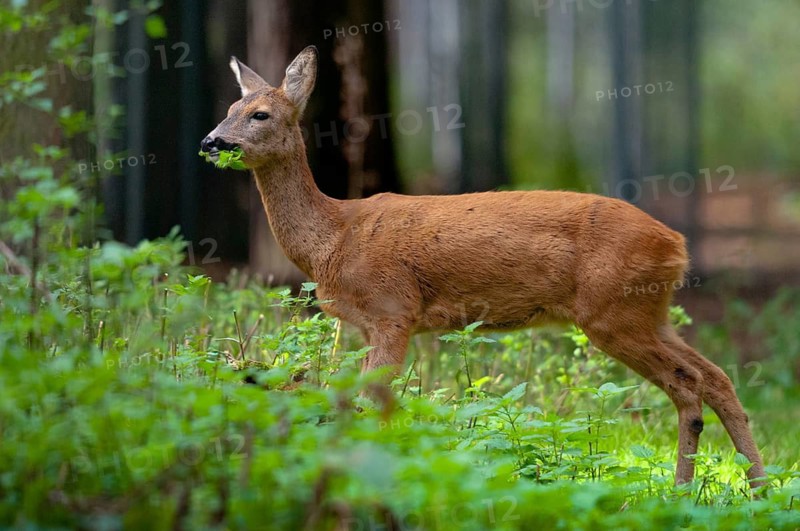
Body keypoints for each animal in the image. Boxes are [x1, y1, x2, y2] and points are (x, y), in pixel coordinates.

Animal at [200, 45, 765, 489]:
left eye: (260, 115)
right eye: (229, 107)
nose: (211, 141)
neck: (333, 237)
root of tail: (677, 243)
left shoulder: (392, 311)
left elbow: (371, 403)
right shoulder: (362, 325)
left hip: (613, 312)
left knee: (688, 383)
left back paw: (686, 489)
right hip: (650, 311)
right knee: (717, 376)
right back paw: (750, 489)